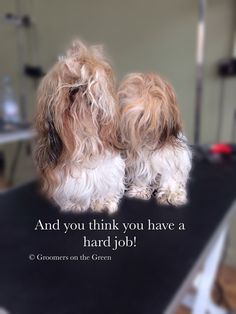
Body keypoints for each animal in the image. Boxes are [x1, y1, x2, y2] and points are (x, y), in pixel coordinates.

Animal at [34, 38, 125, 211]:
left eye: (89, 80)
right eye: (67, 80)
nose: (77, 86)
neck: (84, 137)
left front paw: (104, 201)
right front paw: (74, 205)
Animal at [118, 73, 192, 206]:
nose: (139, 110)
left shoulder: (171, 158)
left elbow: (170, 176)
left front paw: (171, 194)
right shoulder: (138, 160)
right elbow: (141, 175)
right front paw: (139, 191)